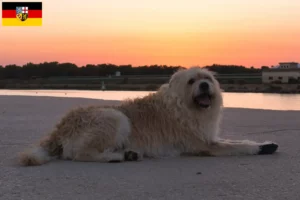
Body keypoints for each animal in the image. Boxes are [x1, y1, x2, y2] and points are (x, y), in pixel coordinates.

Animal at [19, 67, 278, 166]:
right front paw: (260, 148)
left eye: (207, 78)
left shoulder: (208, 137)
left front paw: (265, 143)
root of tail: (59, 129)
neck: (184, 105)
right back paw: (116, 157)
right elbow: (237, 146)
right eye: (192, 81)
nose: (205, 85)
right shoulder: (205, 145)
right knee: (79, 154)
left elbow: (236, 141)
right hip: (114, 117)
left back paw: (127, 153)